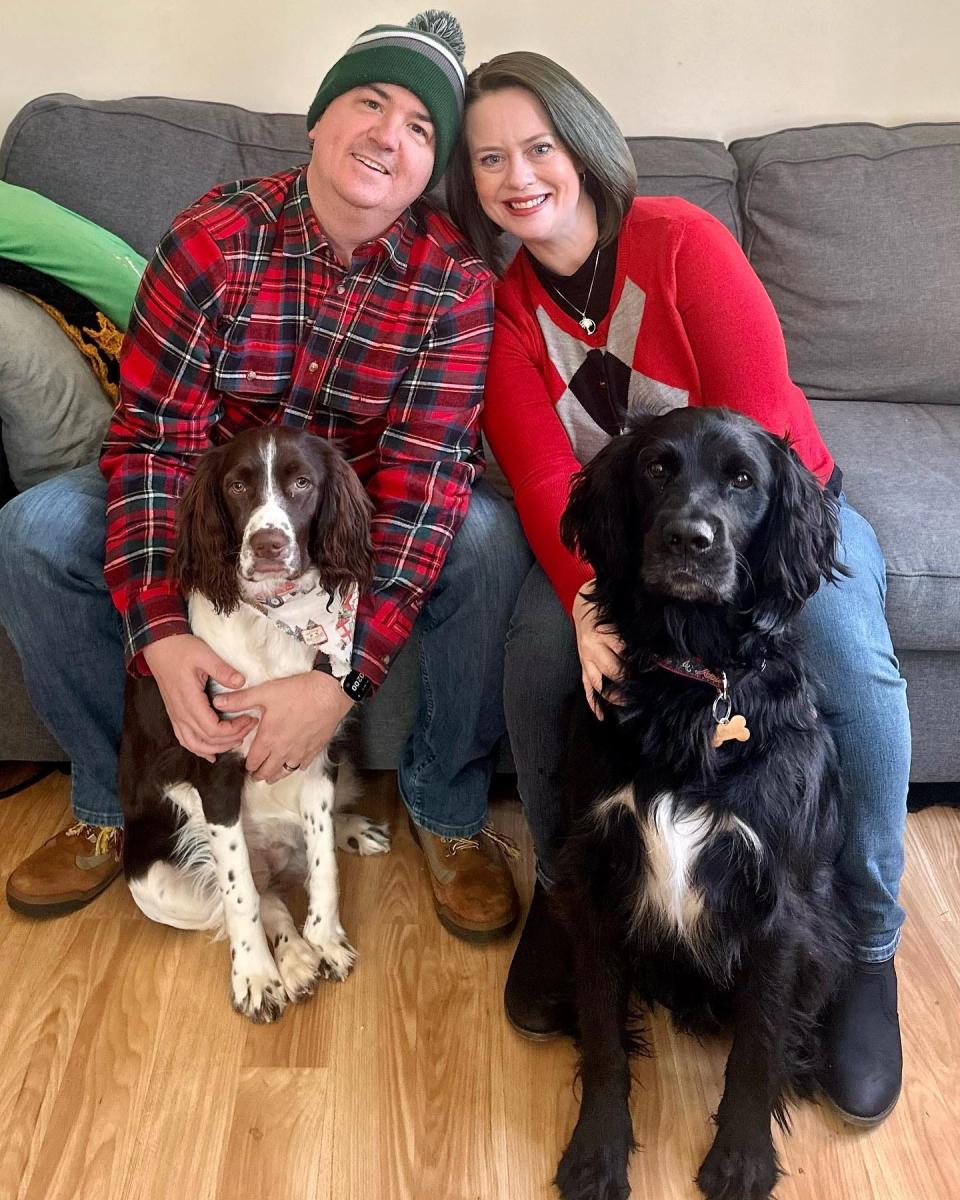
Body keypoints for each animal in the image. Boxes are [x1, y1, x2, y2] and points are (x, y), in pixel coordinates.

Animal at [547, 408, 854, 1195]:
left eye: (743, 479)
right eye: (657, 468)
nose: (690, 538)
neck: (692, 684)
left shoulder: (780, 904)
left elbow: (758, 1044)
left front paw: (742, 1158)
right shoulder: (595, 873)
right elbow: (603, 1032)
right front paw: (596, 1149)